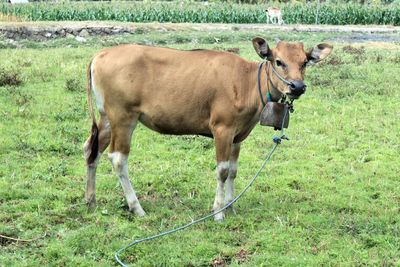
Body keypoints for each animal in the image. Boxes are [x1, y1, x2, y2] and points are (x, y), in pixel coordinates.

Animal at [83, 37, 332, 222]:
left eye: (305, 62)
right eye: (278, 61)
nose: (297, 86)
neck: (246, 82)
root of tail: (100, 55)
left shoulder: (238, 135)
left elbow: (233, 170)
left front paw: (231, 206)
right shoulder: (222, 128)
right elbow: (222, 170)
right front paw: (219, 211)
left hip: (106, 118)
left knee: (91, 150)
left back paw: (90, 200)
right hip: (123, 117)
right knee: (117, 158)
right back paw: (137, 208)